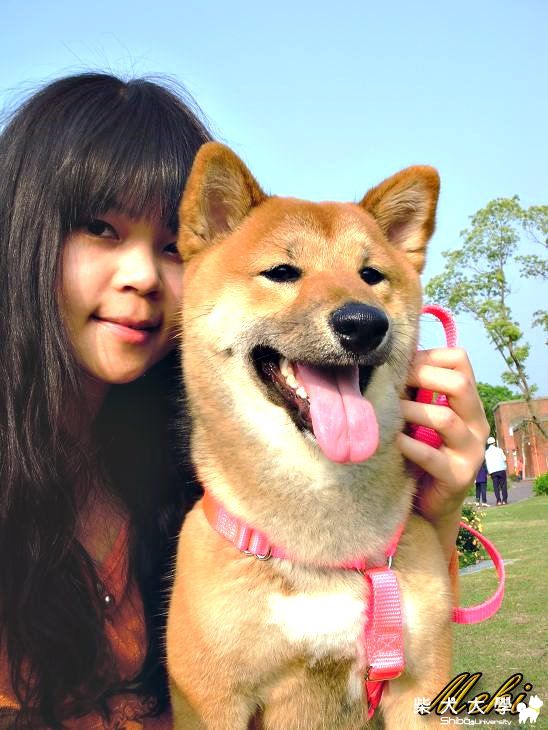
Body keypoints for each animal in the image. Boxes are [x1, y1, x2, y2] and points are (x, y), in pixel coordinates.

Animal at [167, 142, 452, 729]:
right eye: (281, 272)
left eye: (371, 275)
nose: (363, 322)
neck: (325, 555)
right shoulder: (215, 702)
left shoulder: (421, 688)